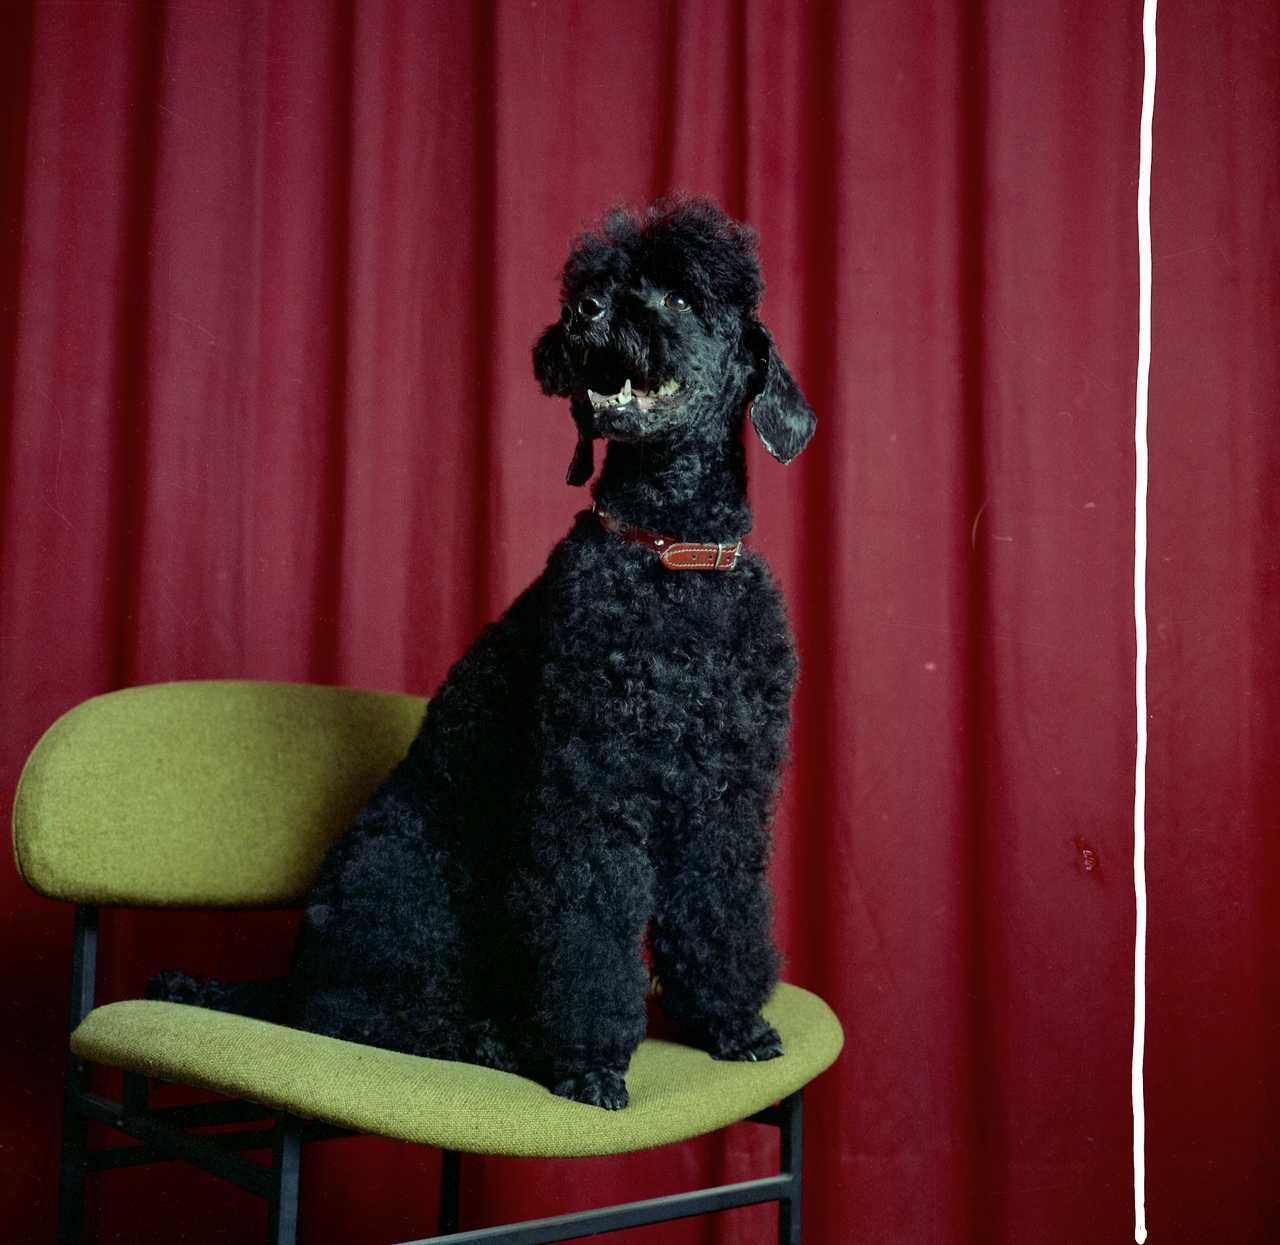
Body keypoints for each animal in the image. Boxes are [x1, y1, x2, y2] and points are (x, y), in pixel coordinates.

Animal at [148, 195, 816, 1110]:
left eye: (680, 298)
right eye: (597, 282)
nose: (583, 313)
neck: (671, 557)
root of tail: (288, 977)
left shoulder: (727, 797)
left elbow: (721, 913)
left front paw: (732, 1024)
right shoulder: (589, 793)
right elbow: (588, 932)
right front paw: (588, 1061)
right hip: (412, 887)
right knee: (359, 1019)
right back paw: (491, 1039)